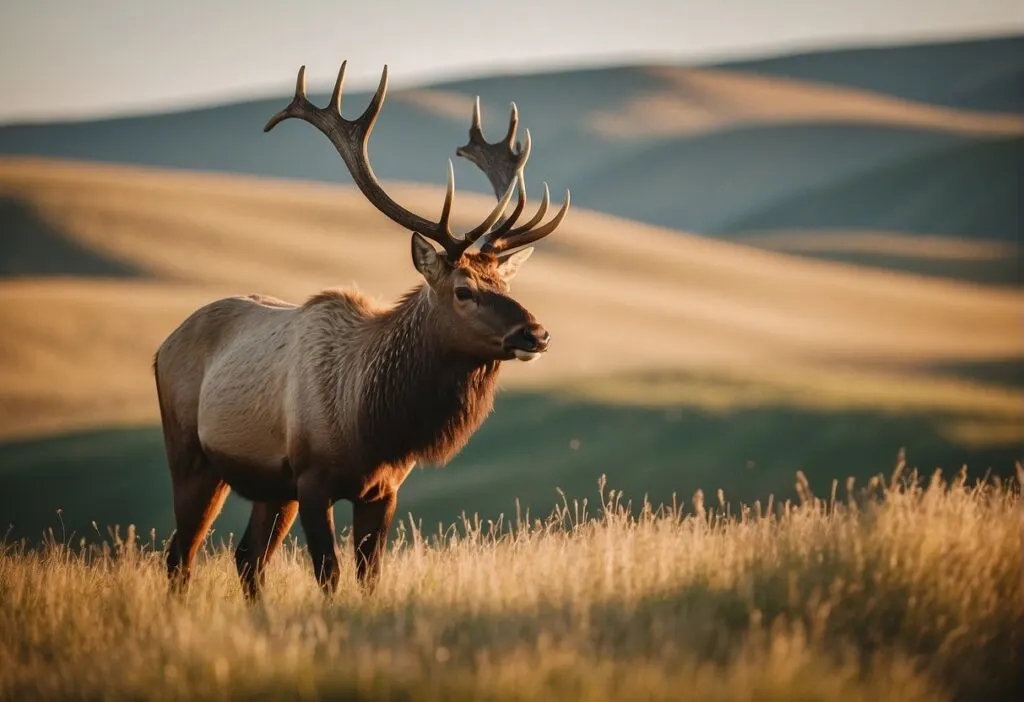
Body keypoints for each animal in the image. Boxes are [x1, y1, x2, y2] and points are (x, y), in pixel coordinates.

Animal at [152, 60, 570, 601]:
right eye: (463, 290)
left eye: (504, 281)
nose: (536, 334)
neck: (371, 424)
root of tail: (161, 348)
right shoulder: (312, 479)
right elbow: (329, 573)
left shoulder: (383, 489)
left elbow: (370, 576)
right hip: (191, 457)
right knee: (180, 555)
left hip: (269, 486)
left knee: (246, 558)